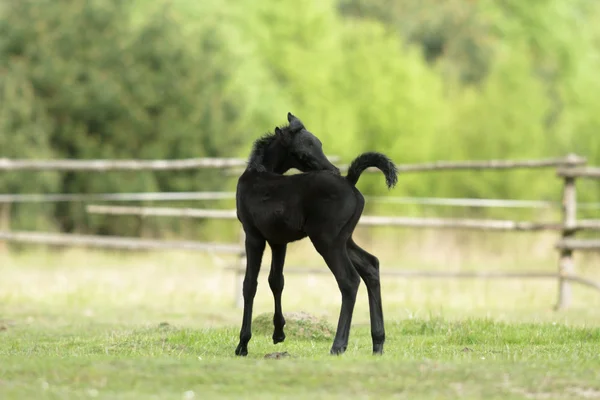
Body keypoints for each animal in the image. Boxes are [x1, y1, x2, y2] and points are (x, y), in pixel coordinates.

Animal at [234, 111, 398, 356]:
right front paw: (278, 334)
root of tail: (350, 182)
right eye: (302, 152)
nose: (332, 169)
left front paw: (243, 344)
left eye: (319, 145)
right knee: (371, 266)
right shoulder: (279, 241)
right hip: (344, 239)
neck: (258, 174)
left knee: (349, 280)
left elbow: (249, 284)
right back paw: (377, 343)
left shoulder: (253, 235)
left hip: (327, 241)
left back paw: (338, 345)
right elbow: (276, 280)